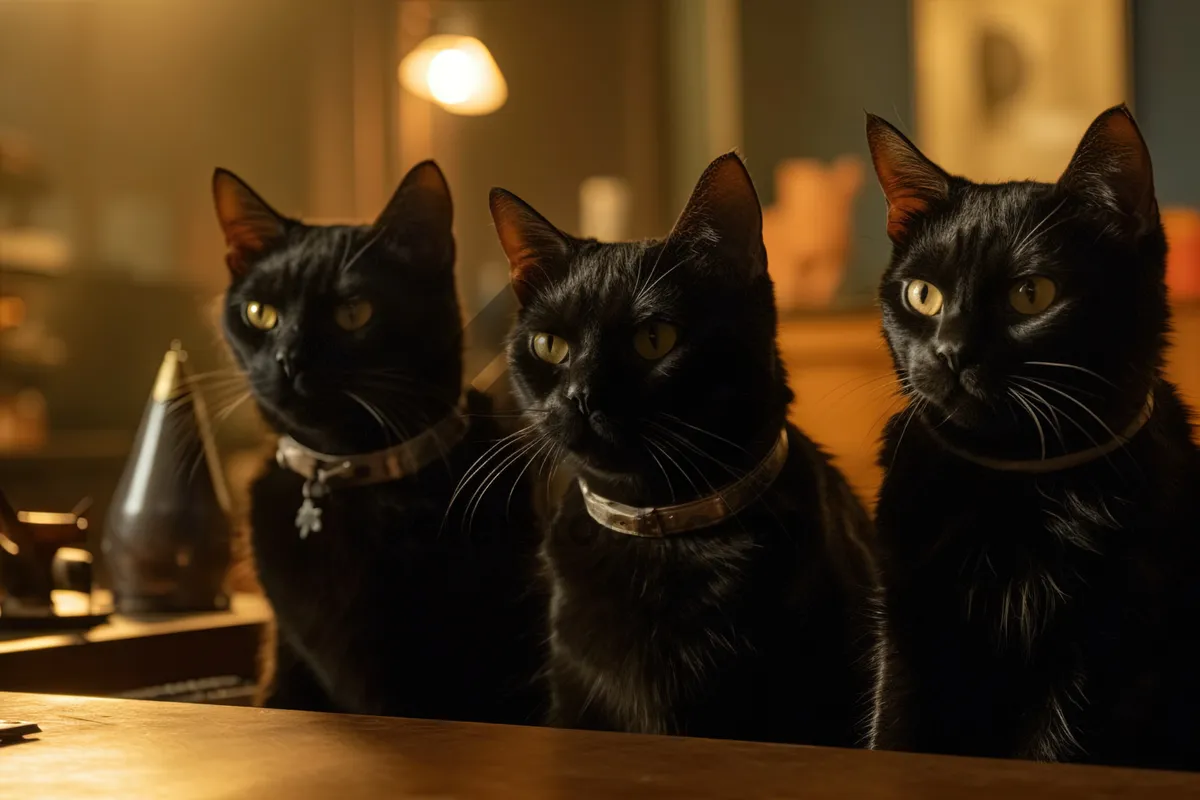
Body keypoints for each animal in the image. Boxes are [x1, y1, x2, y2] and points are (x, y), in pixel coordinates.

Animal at [868, 106, 1200, 767]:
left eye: (1031, 295)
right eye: (923, 295)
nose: (950, 352)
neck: (1011, 487)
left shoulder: (1103, 651)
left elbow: (1052, 753)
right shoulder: (907, 623)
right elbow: (893, 730)